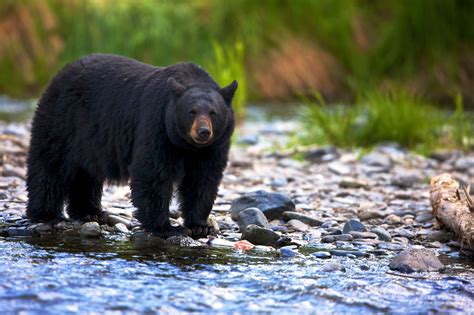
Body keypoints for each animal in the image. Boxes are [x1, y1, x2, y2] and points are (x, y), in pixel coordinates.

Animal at [25, 53, 237, 239]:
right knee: (50, 165)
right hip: (63, 121)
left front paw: (200, 226)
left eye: (213, 113)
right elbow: (153, 173)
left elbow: (202, 179)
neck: (187, 145)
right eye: (191, 111)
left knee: (86, 174)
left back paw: (90, 212)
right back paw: (46, 214)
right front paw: (166, 227)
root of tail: (61, 73)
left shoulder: (213, 147)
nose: (203, 132)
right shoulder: (157, 125)